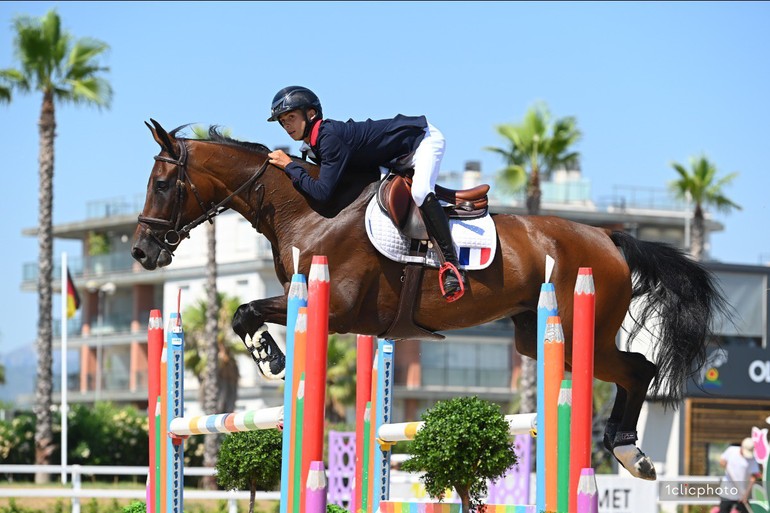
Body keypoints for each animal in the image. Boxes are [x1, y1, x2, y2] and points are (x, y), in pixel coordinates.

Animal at [130, 120, 728, 480]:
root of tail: (609, 238)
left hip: (584, 328)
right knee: (629, 368)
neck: (306, 209)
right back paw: (627, 449)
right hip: (535, 338)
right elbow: (243, 312)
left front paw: (271, 356)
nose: (140, 251)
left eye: (161, 183)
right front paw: (269, 354)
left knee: (638, 367)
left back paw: (629, 451)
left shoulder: (335, 308)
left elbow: (245, 309)